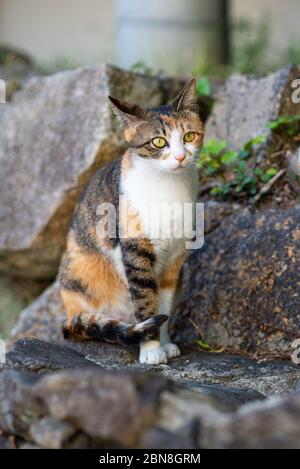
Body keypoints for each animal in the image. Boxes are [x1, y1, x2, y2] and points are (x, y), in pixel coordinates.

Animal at [58, 78, 204, 364]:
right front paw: (151, 351)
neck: (167, 188)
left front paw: (165, 344)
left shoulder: (175, 256)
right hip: (81, 274)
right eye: (159, 142)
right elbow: (146, 301)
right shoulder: (135, 251)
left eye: (189, 136)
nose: (181, 157)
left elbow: (164, 304)